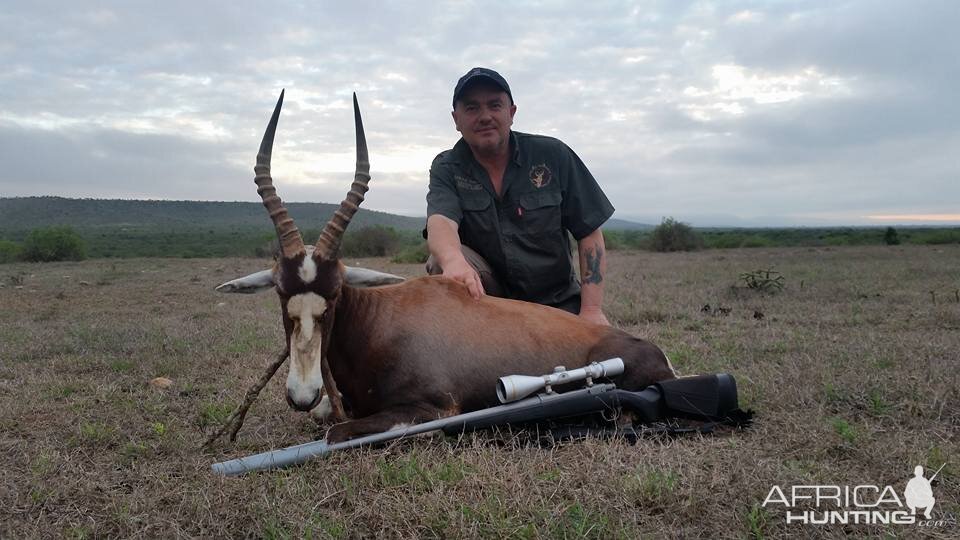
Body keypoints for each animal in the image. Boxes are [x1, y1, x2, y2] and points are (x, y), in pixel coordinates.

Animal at [218, 90, 676, 442]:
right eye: (281, 292)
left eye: (333, 294)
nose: (303, 394)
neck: (379, 321)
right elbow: (325, 417)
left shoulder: (435, 409)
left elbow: (335, 431)